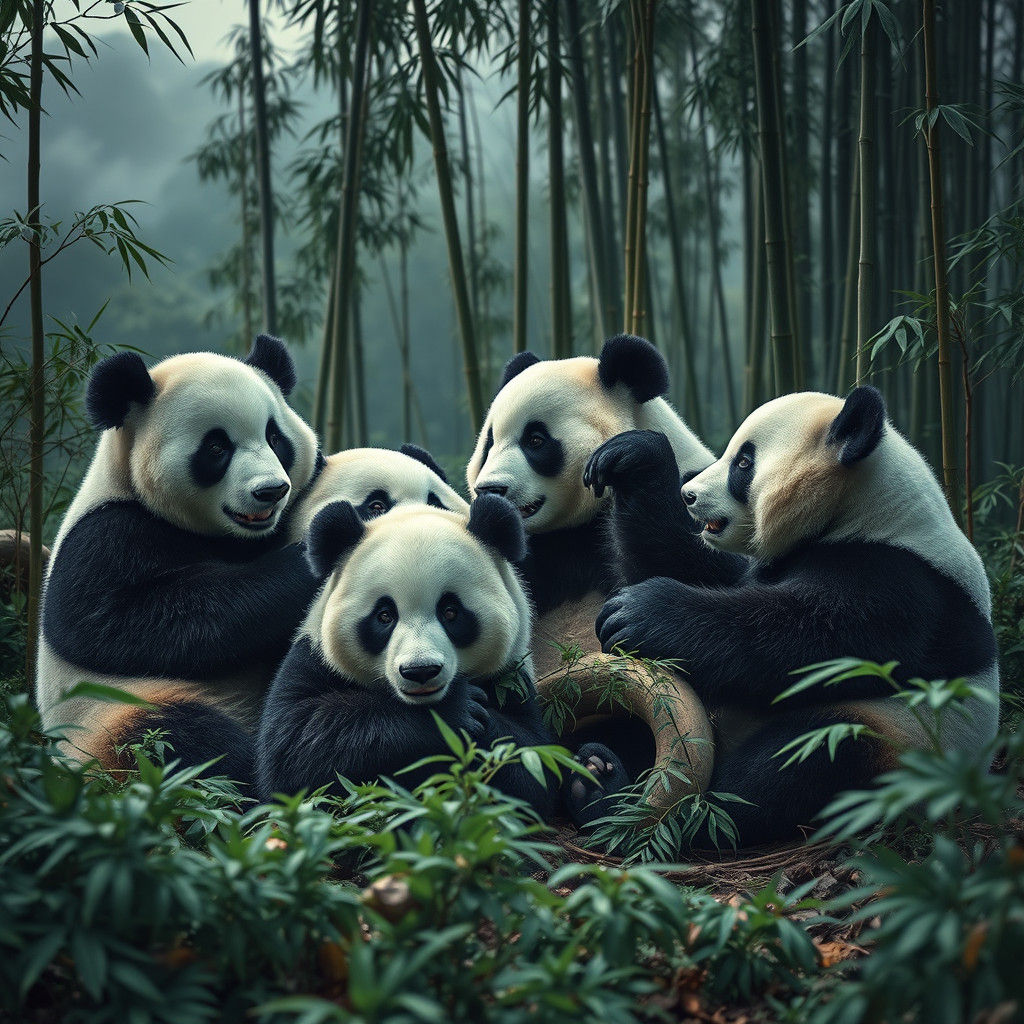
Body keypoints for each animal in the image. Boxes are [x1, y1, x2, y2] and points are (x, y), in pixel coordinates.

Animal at [36, 335, 322, 787]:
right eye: (217, 447)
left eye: (275, 437)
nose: (271, 491)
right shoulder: (104, 536)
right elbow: (125, 619)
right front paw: (306, 560)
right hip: (117, 719)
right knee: (185, 741)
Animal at [257, 495, 554, 816]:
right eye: (385, 615)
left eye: (450, 611)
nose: (420, 670)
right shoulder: (314, 656)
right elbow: (296, 747)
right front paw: (458, 710)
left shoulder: (512, 676)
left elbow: (530, 764)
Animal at [587, 386, 1000, 845]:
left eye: (744, 463)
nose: (689, 495)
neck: (870, 509)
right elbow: (700, 569)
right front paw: (633, 457)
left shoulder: (903, 583)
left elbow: (810, 639)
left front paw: (641, 612)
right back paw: (593, 771)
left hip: (897, 742)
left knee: (794, 767)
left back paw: (650, 808)